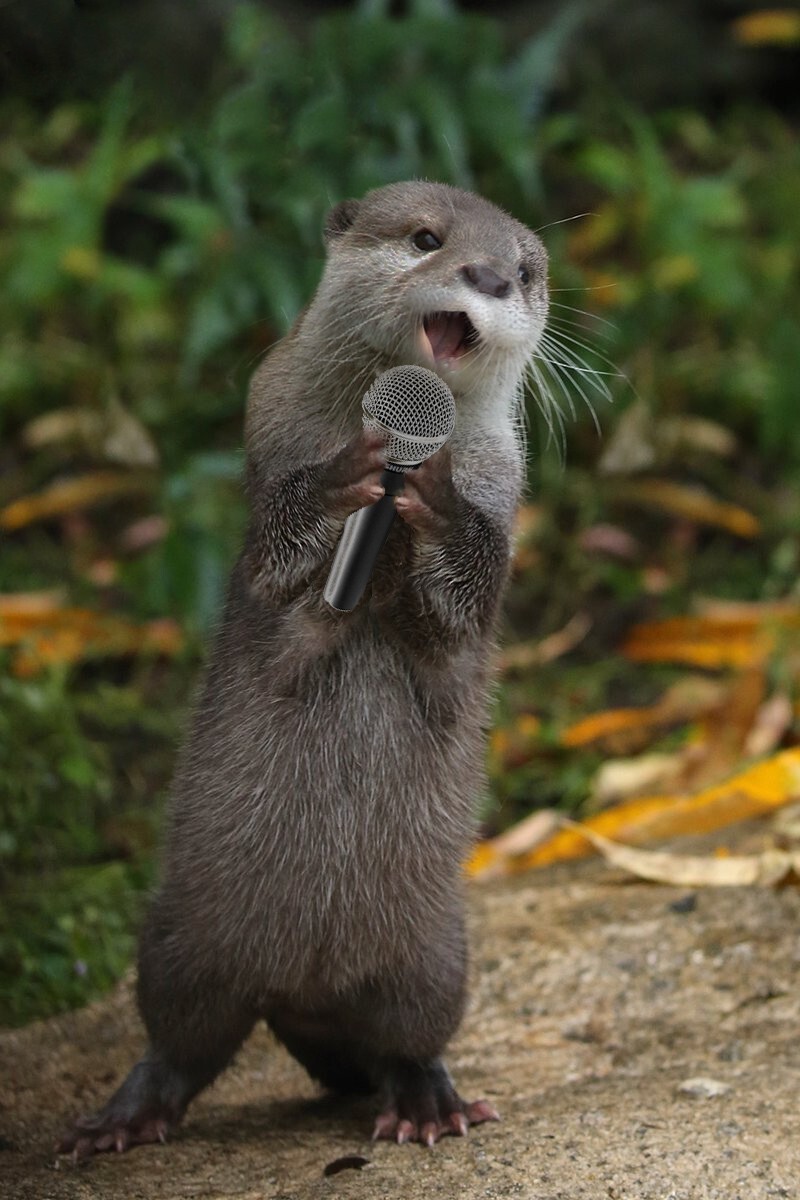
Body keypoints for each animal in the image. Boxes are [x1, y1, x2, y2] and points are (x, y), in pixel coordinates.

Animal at [57, 175, 551, 1152]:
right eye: (427, 238)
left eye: (522, 270)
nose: (485, 276)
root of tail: (307, 991)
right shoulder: (269, 427)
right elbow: (282, 565)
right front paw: (346, 478)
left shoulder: (501, 500)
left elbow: (462, 608)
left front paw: (433, 491)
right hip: (179, 942)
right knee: (180, 1040)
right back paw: (127, 1116)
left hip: (435, 959)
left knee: (408, 1040)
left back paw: (429, 1102)